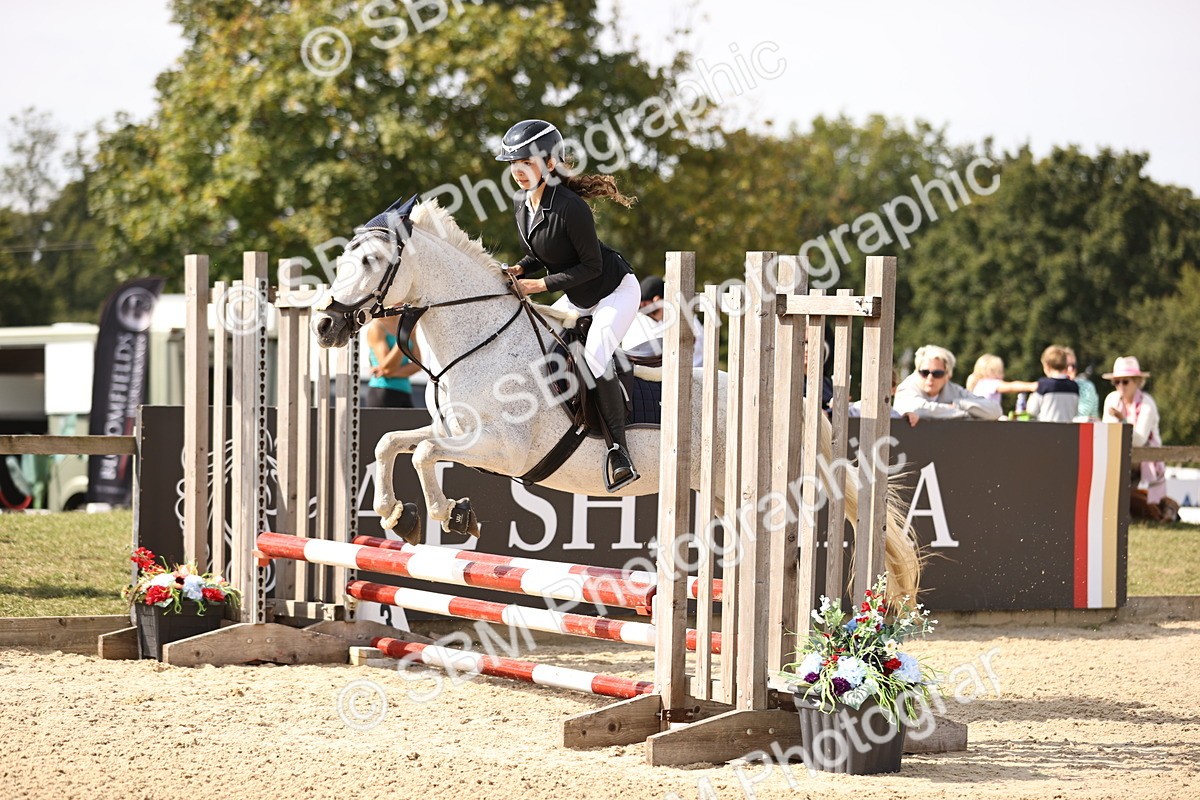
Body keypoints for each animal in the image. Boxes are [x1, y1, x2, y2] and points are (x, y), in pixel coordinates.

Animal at [311, 198, 920, 599]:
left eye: (369, 262)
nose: (324, 326)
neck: (479, 337)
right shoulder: (455, 431)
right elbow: (392, 443)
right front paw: (400, 515)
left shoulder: (501, 449)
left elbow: (420, 454)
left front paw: (450, 514)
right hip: (723, 493)